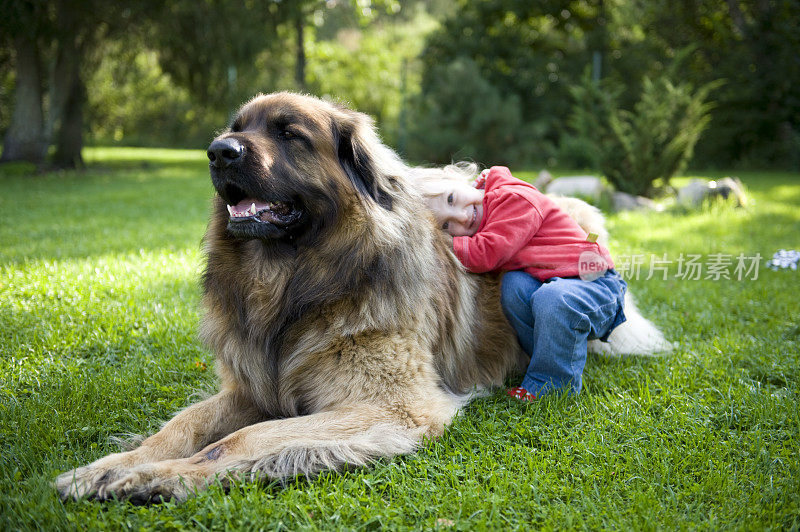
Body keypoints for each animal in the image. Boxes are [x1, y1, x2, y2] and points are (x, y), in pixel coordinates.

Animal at [57, 91, 668, 502]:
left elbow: (244, 439)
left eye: (290, 134)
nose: (218, 152)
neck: (293, 284)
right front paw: (112, 466)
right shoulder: (254, 385)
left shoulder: (386, 405)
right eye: (236, 128)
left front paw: (158, 479)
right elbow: (181, 427)